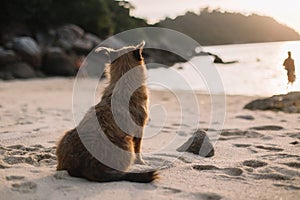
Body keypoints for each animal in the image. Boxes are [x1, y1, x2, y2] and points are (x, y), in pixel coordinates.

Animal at [57, 41, 158, 182]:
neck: (123, 82)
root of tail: (88, 166)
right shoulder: (139, 129)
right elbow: (139, 148)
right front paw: (141, 163)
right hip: (127, 145)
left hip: (65, 136)